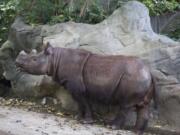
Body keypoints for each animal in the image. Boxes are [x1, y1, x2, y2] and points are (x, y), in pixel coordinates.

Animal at [15, 42, 157, 135]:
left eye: (34, 59)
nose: (17, 62)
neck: (55, 59)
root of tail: (149, 72)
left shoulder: (77, 87)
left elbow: (83, 102)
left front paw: (86, 121)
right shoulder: (79, 88)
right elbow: (81, 103)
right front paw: (78, 118)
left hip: (133, 78)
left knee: (125, 105)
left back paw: (112, 127)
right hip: (141, 77)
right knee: (142, 106)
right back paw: (137, 131)